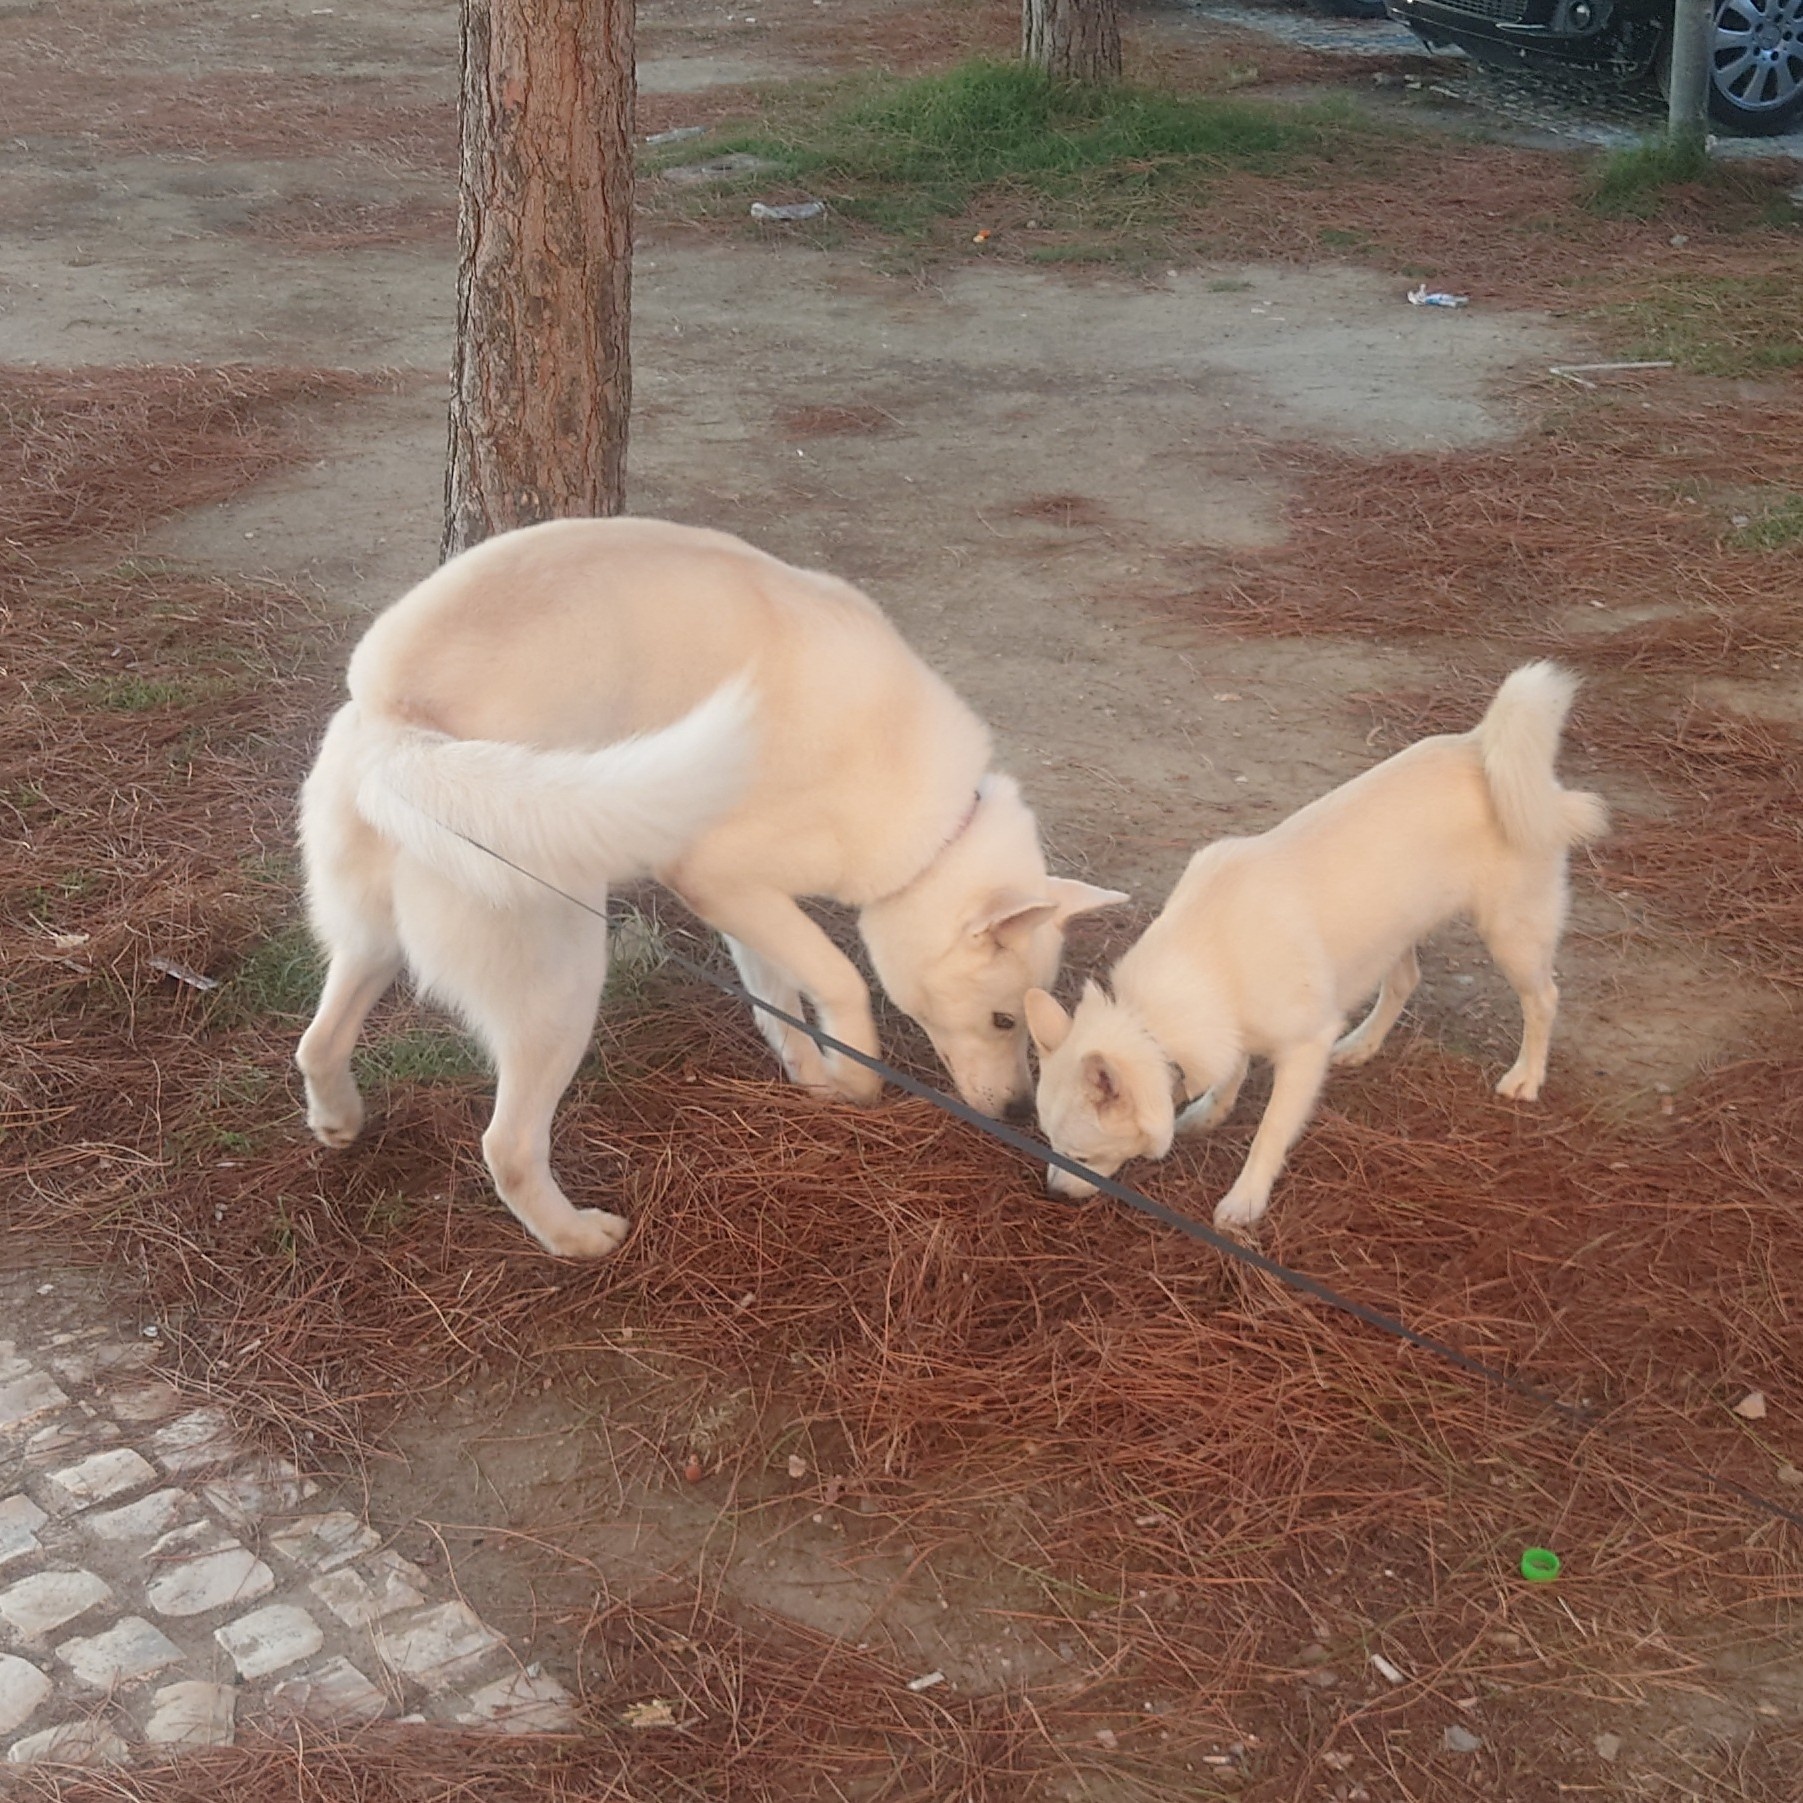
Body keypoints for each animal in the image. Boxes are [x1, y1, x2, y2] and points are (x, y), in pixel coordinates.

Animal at [295, 517, 1125, 1256]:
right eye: (1000, 1020)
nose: (1016, 1110)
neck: (935, 822)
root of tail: (400, 730)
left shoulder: (747, 905)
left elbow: (782, 1001)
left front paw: (812, 1077)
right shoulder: (717, 877)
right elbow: (841, 980)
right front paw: (856, 1077)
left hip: (372, 946)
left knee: (316, 1042)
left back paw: (338, 1120)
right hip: (565, 983)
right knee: (508, 1146)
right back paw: (577, 1237)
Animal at [1024, 663, 1607, 1231]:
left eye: (1080, 1154)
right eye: (1050, 1141)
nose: (1052, 1195)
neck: (1208, 963)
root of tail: (1480, 744)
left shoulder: (1304, 1052)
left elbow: (1269, 1133)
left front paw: (1245, 1201)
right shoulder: (1235, 1028)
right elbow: (1232, 1073)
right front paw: (1211, 1113)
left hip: (1512, 936)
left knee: (1543, 1000)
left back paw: (1526, 1077)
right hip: (1391, 931)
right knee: (1405, 982)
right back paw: (1363, 1045)